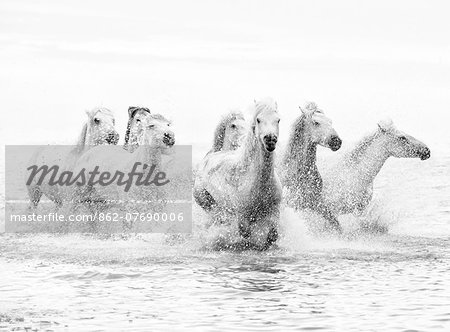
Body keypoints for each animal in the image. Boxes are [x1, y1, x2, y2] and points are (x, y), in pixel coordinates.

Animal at [193, 98, 282, 249]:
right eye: (258, 119)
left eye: (278, 119)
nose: (270, 139)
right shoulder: (242, 215)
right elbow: (245, 233)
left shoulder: (274, 210)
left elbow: (273, 235)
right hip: (207, 202)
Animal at [282, 102, 342, 232]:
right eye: (316, 122)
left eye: (330, 121)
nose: (336, 141)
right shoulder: (294, 205)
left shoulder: (316, 203)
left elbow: (335, 223)